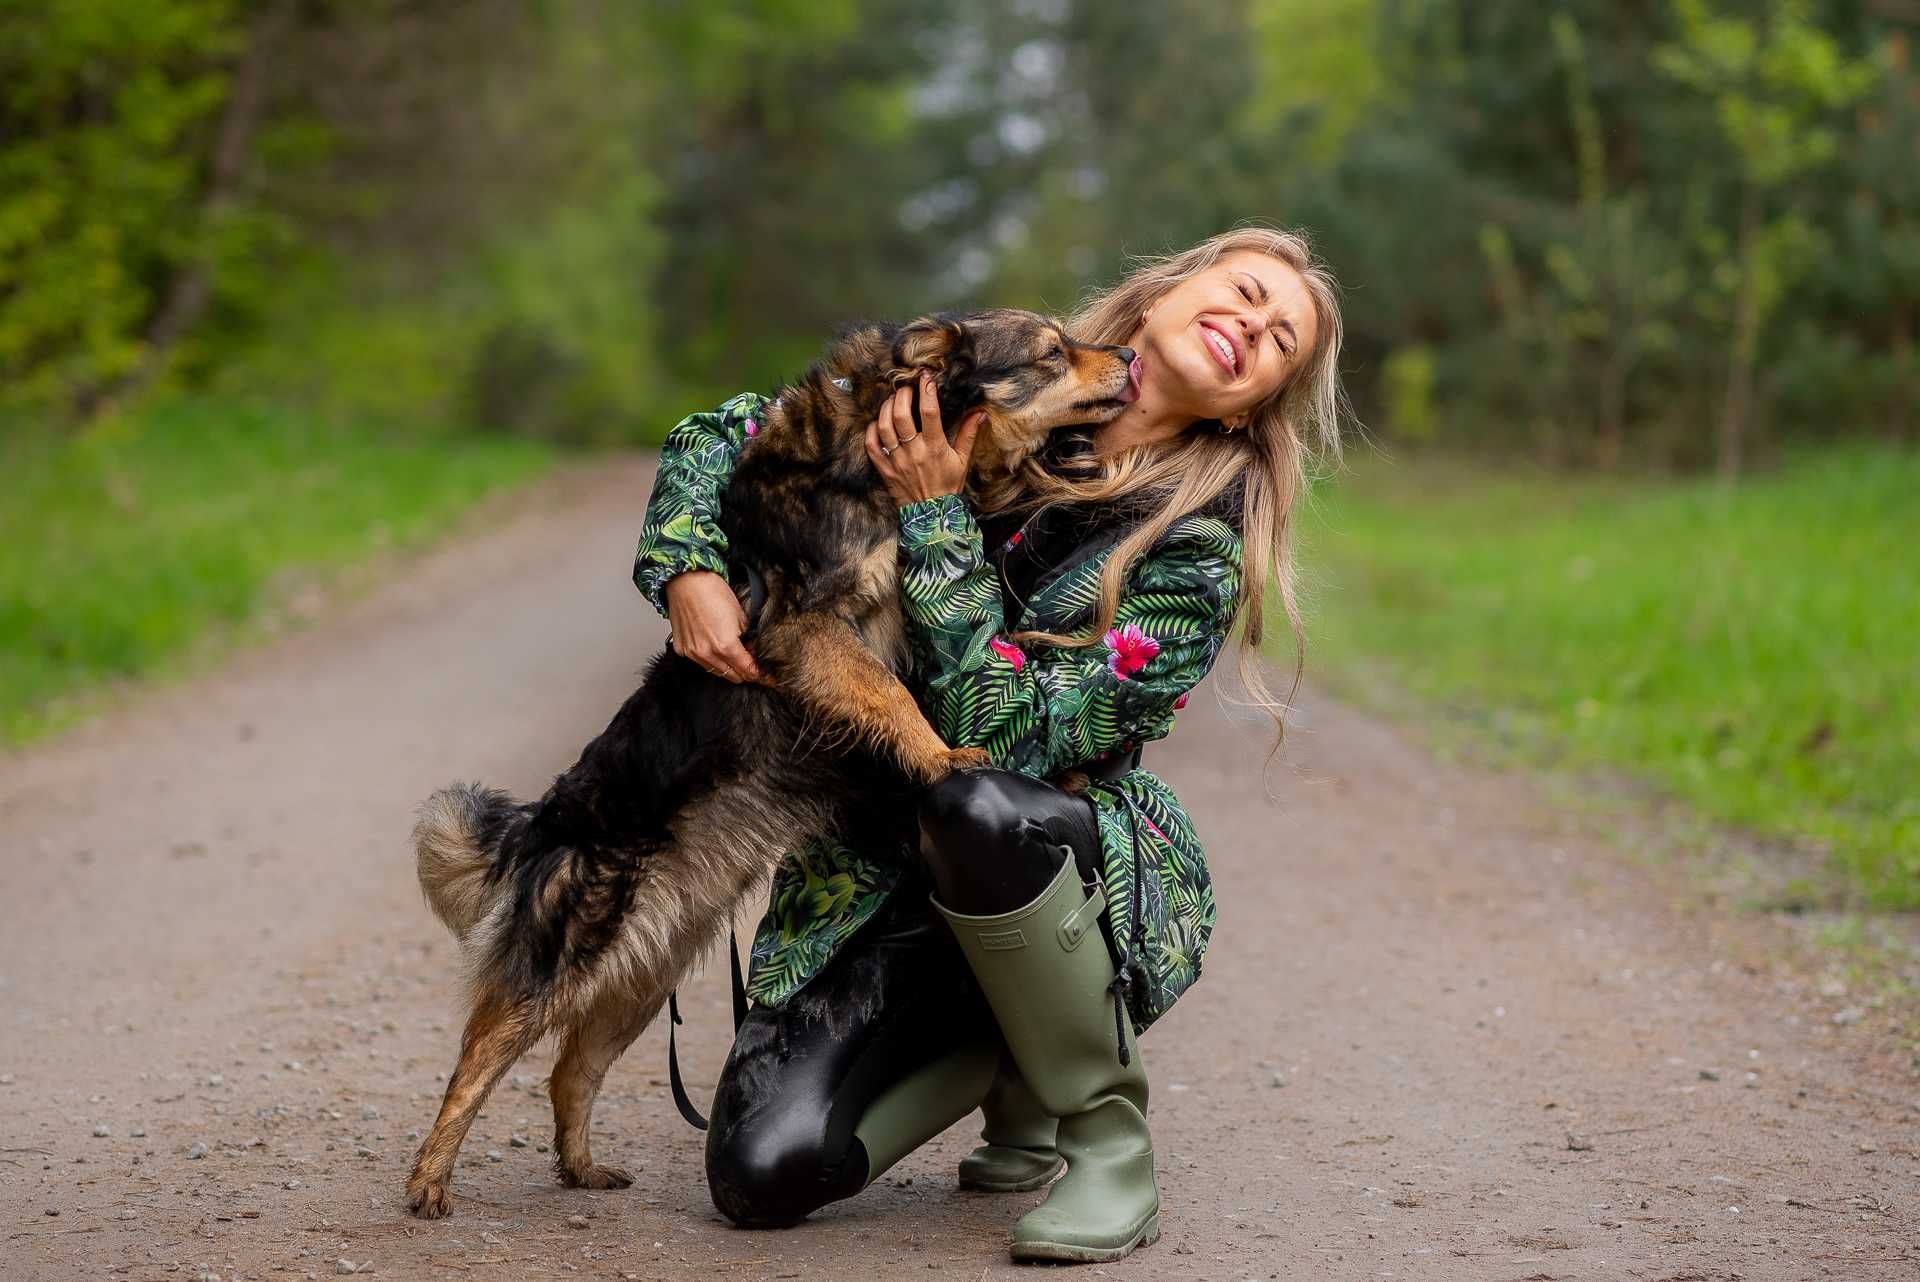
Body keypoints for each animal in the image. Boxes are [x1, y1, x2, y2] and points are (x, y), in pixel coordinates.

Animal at [397, 305, 1128, 1220]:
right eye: (1052, 351)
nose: (1131, 355)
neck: (872, 465)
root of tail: (548, 818)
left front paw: (1053, 768)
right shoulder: (808, 627)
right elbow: (894, 700)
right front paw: (942, 755)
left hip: (643, 973)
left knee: (571, 1068)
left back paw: (581, 1167)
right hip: (570, 951)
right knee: (482, 1051)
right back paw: (430, 1179)